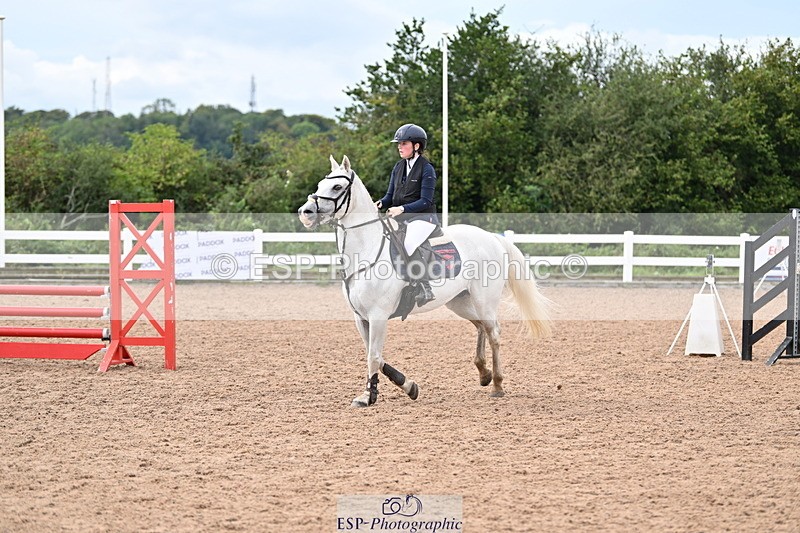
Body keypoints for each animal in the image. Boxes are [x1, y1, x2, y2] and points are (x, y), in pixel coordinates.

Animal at [298, 155, 551, 407]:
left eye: (337, 187)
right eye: (320, 184)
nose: (305, 212)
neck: (366, 250)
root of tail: (491, 237)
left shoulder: (378, 315)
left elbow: (374, 356)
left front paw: (370, 395)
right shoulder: (361, 317)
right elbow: (375, 355)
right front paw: (407, 387)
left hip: (484, 300)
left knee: (494, 332)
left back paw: (497, 384)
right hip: (459, 301)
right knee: (480, 327)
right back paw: (484, 374)